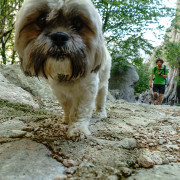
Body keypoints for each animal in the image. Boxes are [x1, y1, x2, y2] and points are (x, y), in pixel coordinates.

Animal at [15, 0, 111, 140]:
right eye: (42, 19)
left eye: (77, 23)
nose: (59, 36)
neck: (67, 74)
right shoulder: (60, 92)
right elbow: (67, 106)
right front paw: (67, 119)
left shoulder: (86, 91)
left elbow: (79, 111)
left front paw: (77, 129)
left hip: (103, 86)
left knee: (101, 99)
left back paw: (101, 113)